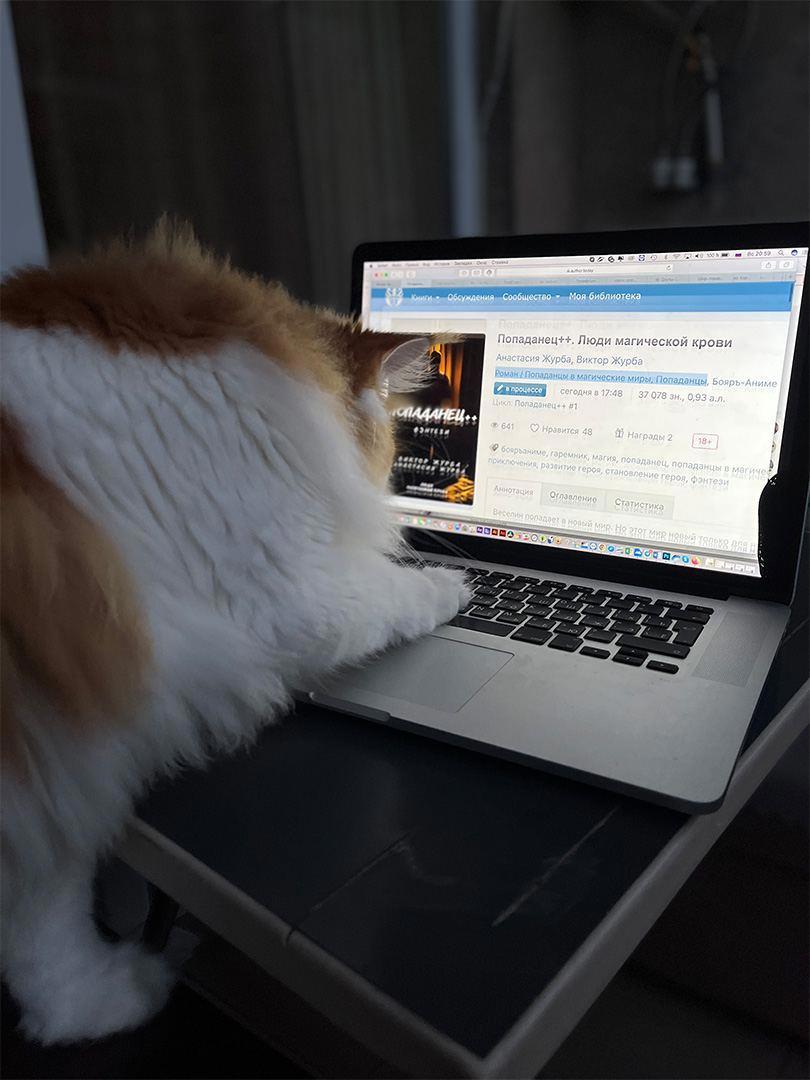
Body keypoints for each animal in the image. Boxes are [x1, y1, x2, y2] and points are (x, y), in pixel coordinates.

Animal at [0, 222, 469, 1044]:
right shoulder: (291, 591)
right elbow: (400, 590)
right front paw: (455, 585)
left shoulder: (58, 758)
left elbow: (44, 939)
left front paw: (94, 1005)